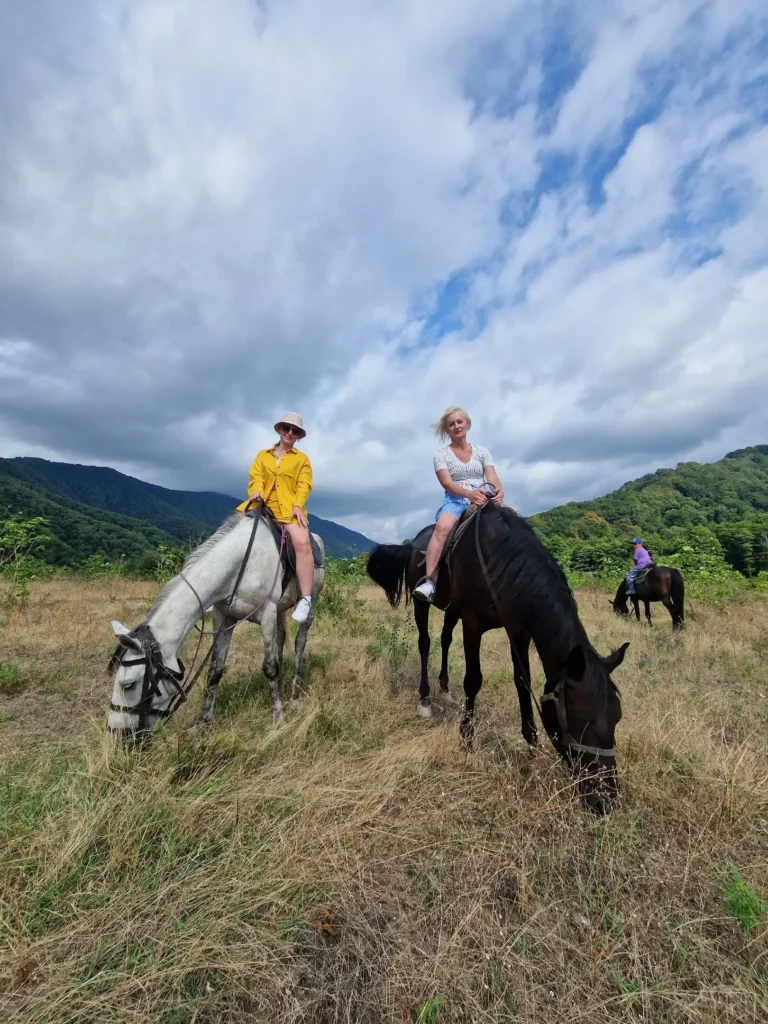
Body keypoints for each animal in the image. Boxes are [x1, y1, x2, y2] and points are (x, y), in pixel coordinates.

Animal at [107, 516, 325, 741]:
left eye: (128, 685)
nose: (115, 735)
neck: (241, 565)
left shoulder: (267, 614)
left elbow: (269, 667)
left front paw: (279, 719)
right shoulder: (224, 617)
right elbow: (215, 670)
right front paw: (203, 724)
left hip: (310, 600)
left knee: (300, 642)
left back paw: (295, 693)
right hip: (280, 610)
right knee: (280, 640)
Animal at [368, 507, 630, 811]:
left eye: (616, 718)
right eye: (581, 721)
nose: (606, 800)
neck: (503, 559)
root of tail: (414, 544)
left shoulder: (518, 630)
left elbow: (523, 683)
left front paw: (531, 746)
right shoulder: (472, 623)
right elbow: (473, 680)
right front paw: (466, 741)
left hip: (451, 609)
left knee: (445, 639)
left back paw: (444, 689)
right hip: (422, 603)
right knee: (425, 644)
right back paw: (425, 699)